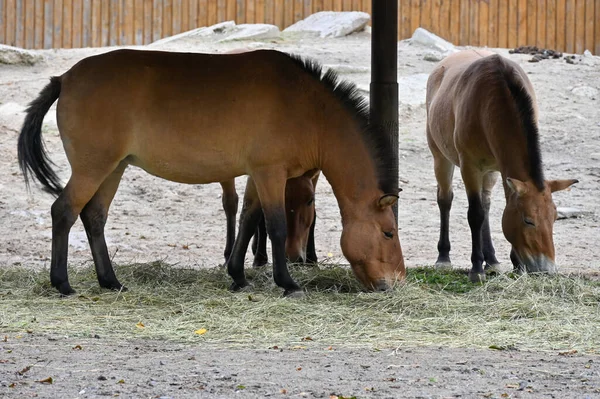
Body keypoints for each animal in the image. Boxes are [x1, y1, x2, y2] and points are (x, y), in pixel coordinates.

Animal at [18, 48, 406, 296]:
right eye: (388, 233)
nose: (396, 281)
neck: (308, 109)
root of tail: (65, 79)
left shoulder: (257, 175)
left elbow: (249, 220)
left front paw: (238, 276)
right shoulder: (270, 173)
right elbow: (276, 226)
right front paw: (287, 283)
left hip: (112, 169)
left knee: (94, 217)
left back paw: (110, 282)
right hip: (93, 168)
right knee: (64, 211)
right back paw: (63, 284)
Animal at [424, 49, 580, 282]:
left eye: (554, 218)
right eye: (528, 221)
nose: (547, 269)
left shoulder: (502, 167)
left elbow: (494, 208)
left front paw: (515, 264)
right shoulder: (469, 167)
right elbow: (475, 214)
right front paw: (476, 269)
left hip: (490, 172)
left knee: (486, 204)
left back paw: (492, 260)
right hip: (441, 158)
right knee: (445, 199)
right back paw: (444, 257)